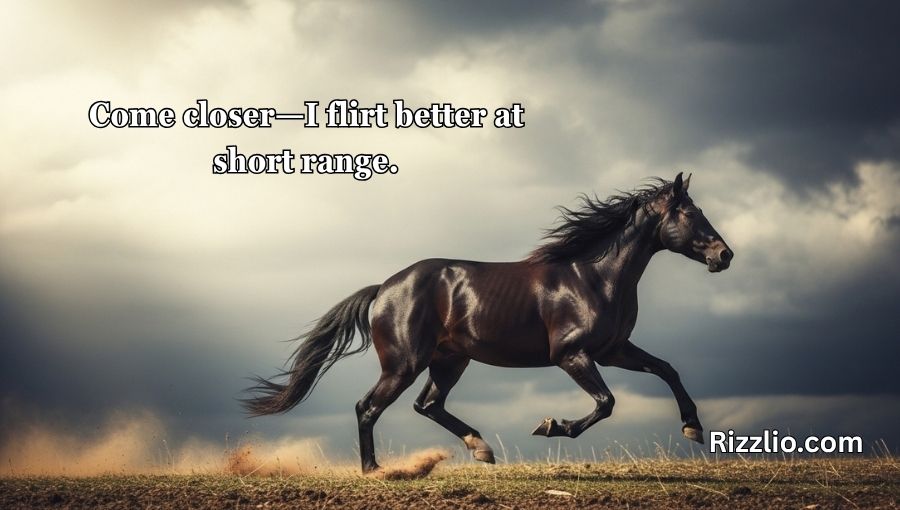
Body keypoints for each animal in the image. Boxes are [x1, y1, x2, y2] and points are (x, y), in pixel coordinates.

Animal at [243, 172, 733, 473]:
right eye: (691, 214)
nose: (724, 255)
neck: (593, 276)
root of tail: (383, 289)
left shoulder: (613, 351)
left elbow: (667, 369)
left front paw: (692, 426)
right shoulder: (572, 355)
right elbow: (607, 403)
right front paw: (551, 425)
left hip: (449, 361)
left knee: (427, 405)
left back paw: (480, 447)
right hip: (404, 364)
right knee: (369, 407)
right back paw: (375, 470)